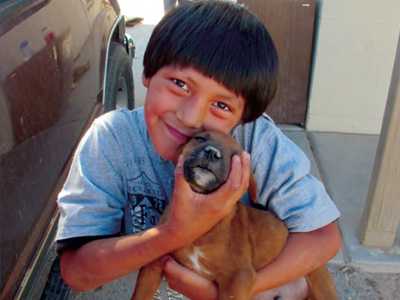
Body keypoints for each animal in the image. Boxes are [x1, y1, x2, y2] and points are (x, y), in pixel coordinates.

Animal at [132, 131, 338, 300]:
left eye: (235, 156)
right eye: (200, 138)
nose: (212, 153)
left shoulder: (238, 277)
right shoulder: (153, 261)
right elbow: (140, 294)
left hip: (320, 285)